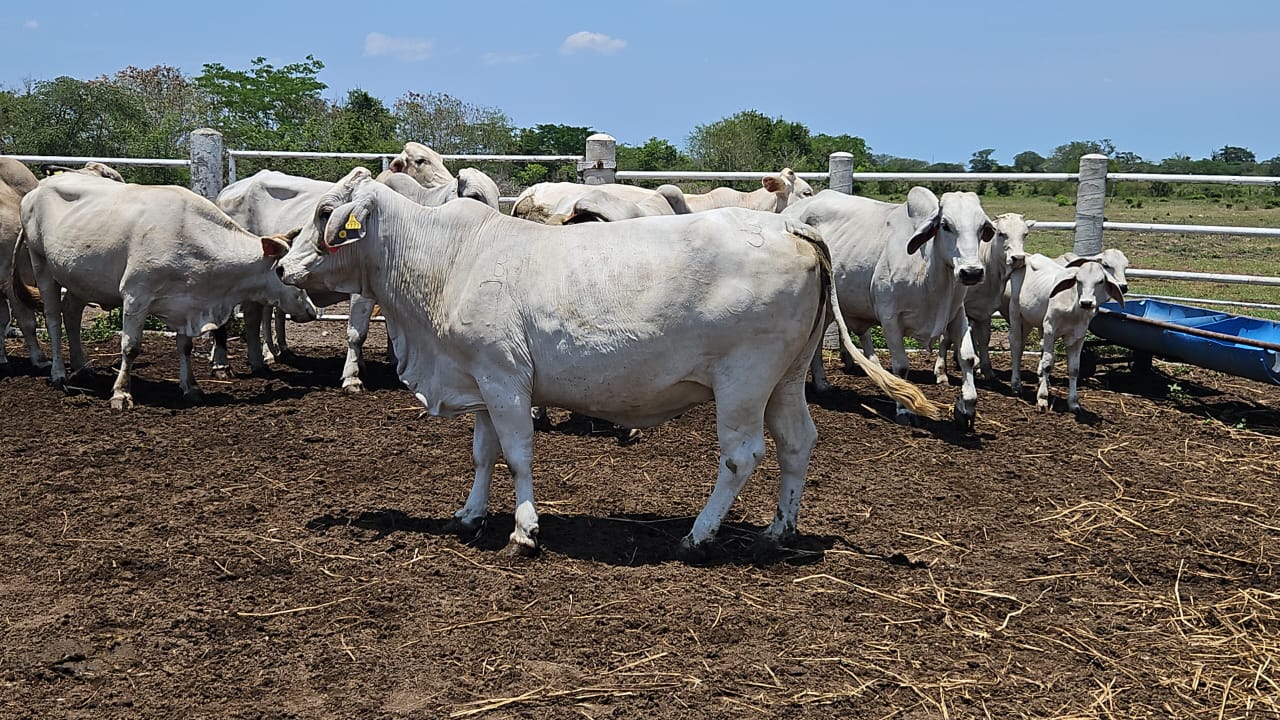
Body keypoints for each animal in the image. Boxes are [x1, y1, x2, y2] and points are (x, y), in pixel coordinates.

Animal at [18, 172, 319, 409]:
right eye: (282, 271)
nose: (312, 310)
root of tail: (36, 189)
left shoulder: (185, 305)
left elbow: (185, 347)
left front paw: (191, 387)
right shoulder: (135, 295)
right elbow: (130, 347)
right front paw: (121, 393)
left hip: (80, 279)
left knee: (71, 314)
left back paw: (82, 367)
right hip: (41, 265)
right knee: (53, 319)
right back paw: (59, 373)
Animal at [279, 167, 938, 556]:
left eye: (324, 215)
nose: (282, 266)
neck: (450, 260)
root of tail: (792, 230)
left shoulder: (505, 378)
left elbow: (516, 456)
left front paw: (524, 529)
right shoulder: (482, 381)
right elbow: (483, 454)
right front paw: (469, 514)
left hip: (744, 381)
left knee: (742, 454)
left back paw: (699, 534)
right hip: (787, 378)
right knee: (798, 441)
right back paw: (779, 527)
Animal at [783, 187, 996, 428]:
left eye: (982, 227)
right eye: (946, 225)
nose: (971, 272)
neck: (928, 269)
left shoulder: (957, 314)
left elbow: (968, 357)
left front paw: (966, 407)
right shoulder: (890, 317)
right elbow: (901, 365)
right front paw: (904, 410)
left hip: (828, 307)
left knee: (817, 343)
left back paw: (822, 384)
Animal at [1008, 254, 1125, 412]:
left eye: (1100, 281)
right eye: (1078, 280)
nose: (1086, 302)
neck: (1074, 307)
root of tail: (1029, 257)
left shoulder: (1078, 336)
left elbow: (1074, 368)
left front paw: (1073, 402)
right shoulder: (1050, 328)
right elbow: (1047, 363)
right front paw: (1042, 398)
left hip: (1030, 321)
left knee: (1026, 346)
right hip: (1016, 313)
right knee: (1016, 345)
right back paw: (1016, 385)